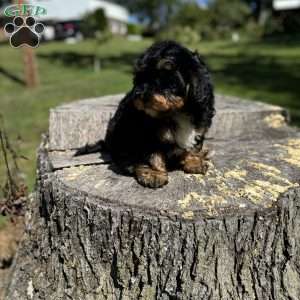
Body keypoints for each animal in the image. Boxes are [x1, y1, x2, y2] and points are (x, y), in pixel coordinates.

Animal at [104, 41, 214, 189]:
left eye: (166, 78)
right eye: (139, 78)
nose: (140, 94)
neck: (176, 112)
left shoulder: (200, 124)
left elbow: (193, 147)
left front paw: (194, 161)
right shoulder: (146, 135)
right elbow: (151, 154)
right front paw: (154, 173)